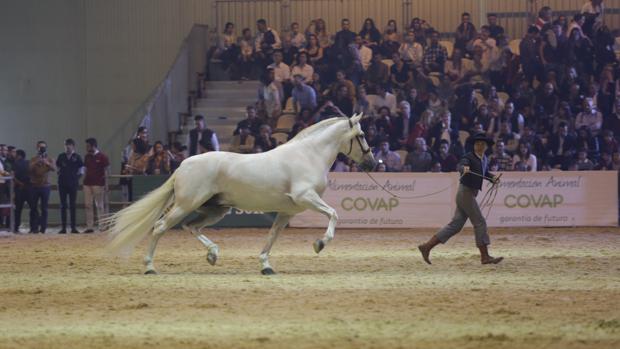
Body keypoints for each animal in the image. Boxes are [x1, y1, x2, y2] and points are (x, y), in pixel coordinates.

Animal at [104, 114, 376, 274]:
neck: (308, 155)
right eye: (362, 135)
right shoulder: (305, 198)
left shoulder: (287, 211)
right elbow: (334, 214)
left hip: (216, 210)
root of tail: (182, 165)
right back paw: (150, 267)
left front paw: (266, 266)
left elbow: (272, 235)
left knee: (192, 227)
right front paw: (320, 243)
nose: (373, 163)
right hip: (185, 205)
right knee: (160, 227)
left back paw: (212, 254)